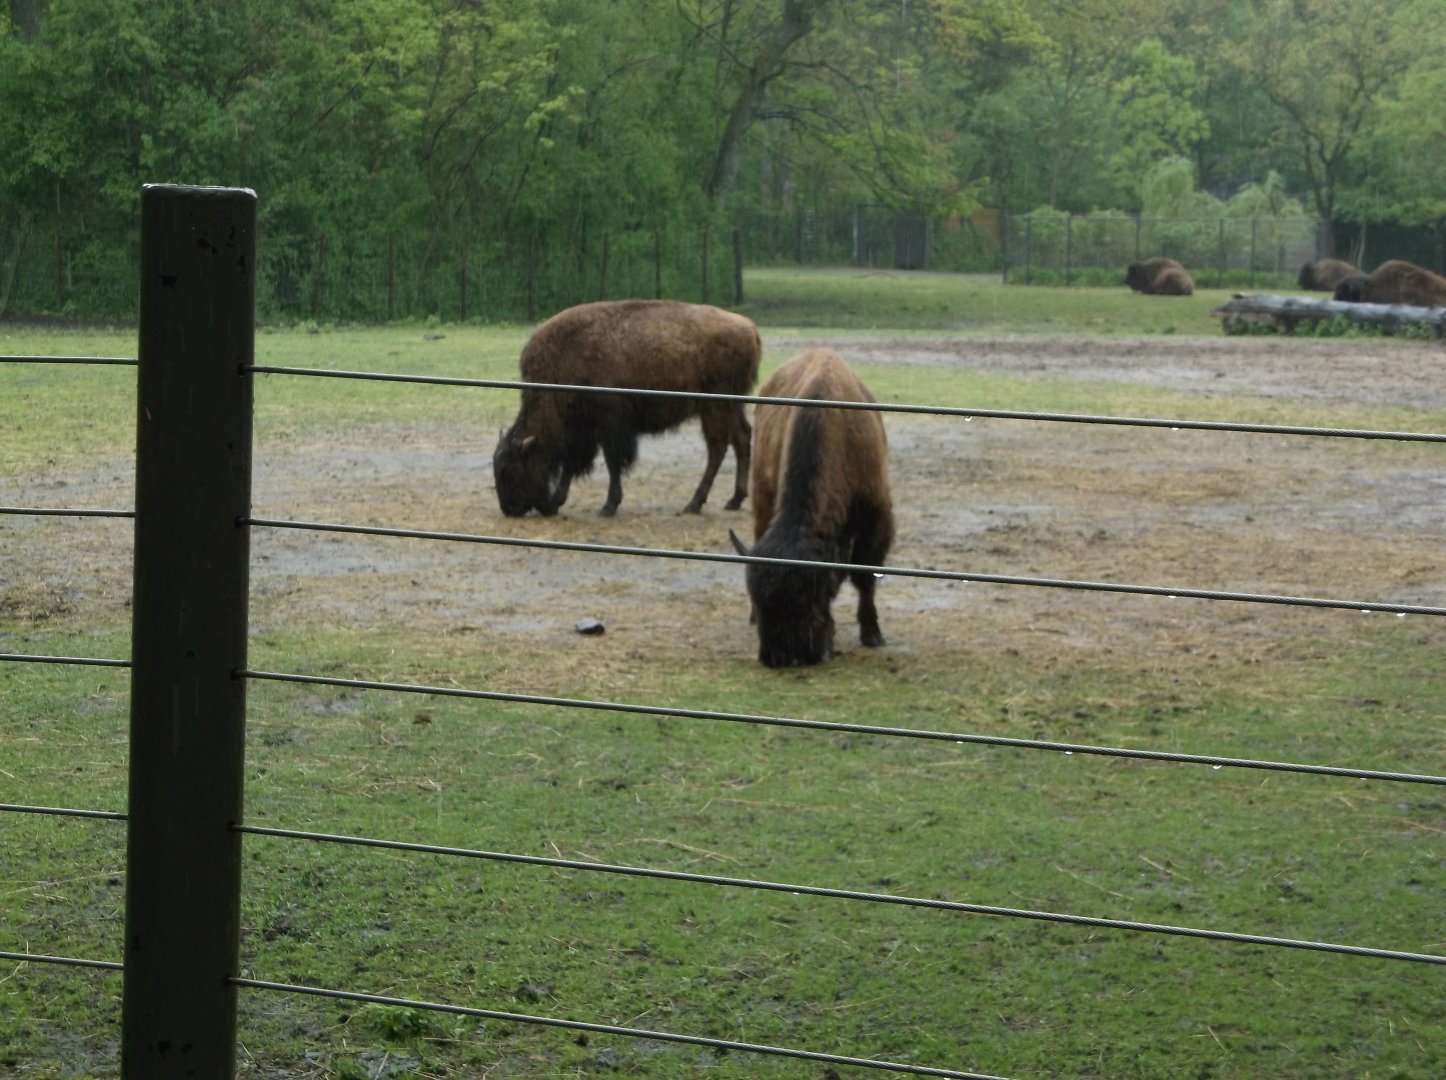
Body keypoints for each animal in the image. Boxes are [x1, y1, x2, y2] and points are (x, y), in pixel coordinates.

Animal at [493, 300, 762, 517]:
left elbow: (612, 462)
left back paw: (694, 503)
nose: (509, 509)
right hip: (731, 405)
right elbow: (572, 463)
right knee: (741, 437)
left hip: (714, 406)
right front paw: (557, 501)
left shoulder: (609, 426)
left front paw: (609, 506)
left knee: (718, 447)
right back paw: (734, 500)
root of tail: (748, 327)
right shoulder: (583, 431)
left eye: (511, 470)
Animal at [730, 348, 894, 667]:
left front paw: (873, 634)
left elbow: (865, 575)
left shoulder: (876, 515)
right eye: (760, 600)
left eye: (809, 597)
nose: (780, 656)